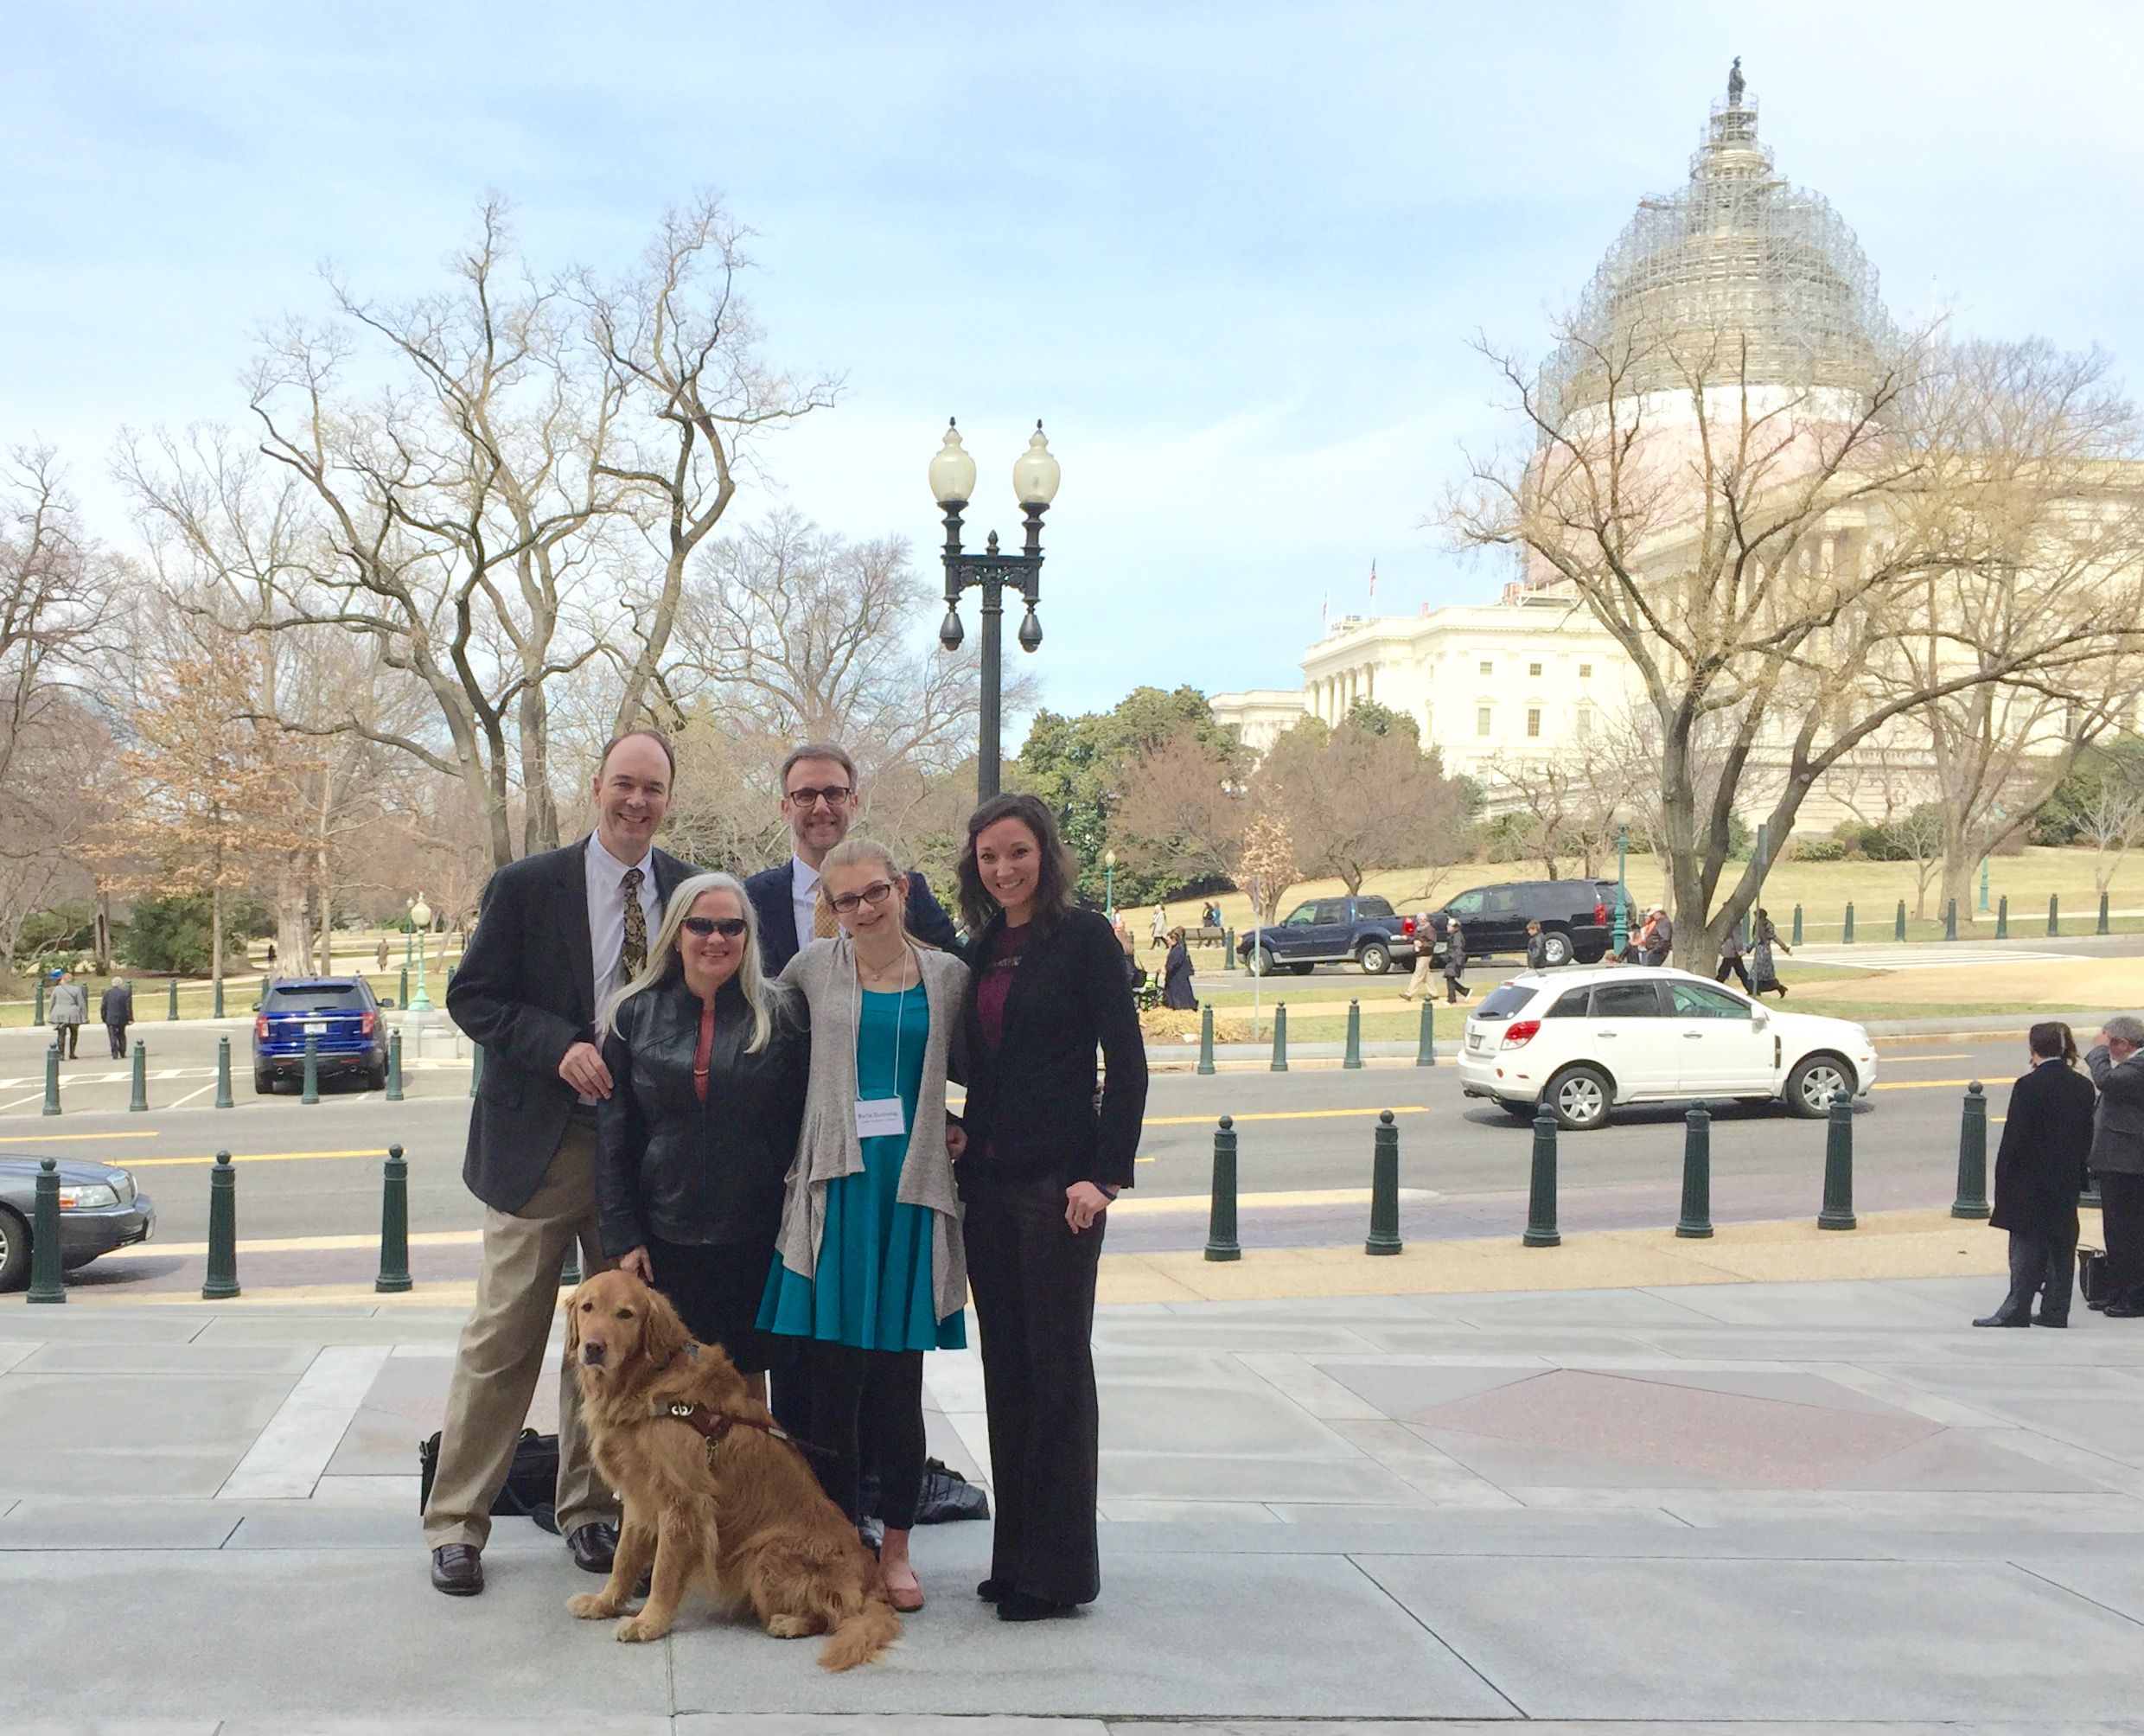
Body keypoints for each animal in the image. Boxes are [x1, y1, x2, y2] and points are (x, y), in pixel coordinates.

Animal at [561, 1268, 896, 1663]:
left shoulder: (684, 1503)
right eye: (588, 1307)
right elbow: (623, 1559)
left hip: (765, 1553)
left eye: (625, 1314)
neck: (649, 1380)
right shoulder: (639, 1498)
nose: (594, 1347)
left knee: (836, 1614)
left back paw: (790, 1622)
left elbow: (663, 1572)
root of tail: (872, 1579)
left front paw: (649, 1622)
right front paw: (604, 1603)